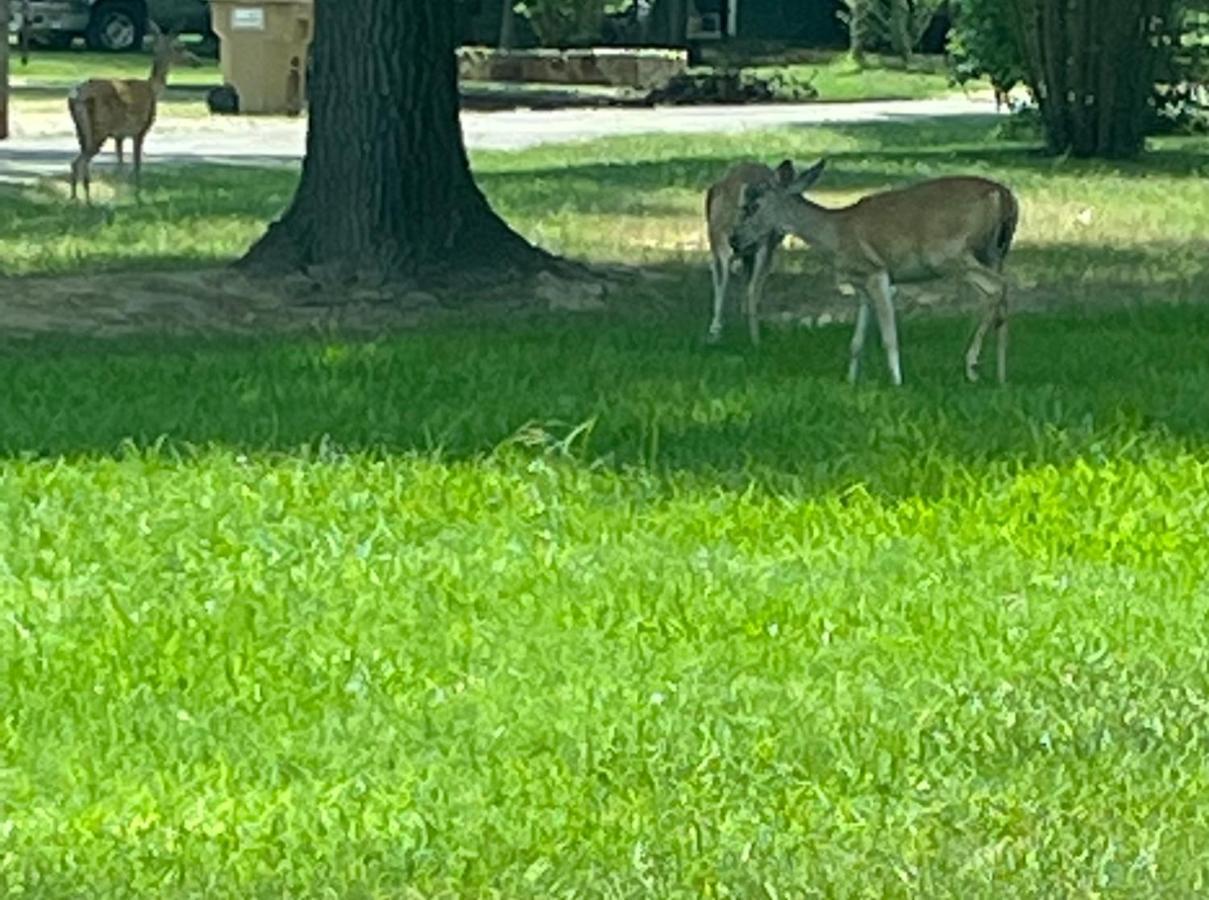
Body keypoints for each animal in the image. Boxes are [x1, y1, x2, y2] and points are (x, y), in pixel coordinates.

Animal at [67, 21, 198, 204]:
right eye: (181, 46)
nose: (197, 61)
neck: (153, 89)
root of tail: (77, 94)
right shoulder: (140, 130)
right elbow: (136, 165)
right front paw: (137, 197)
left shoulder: (119, 135)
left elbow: (120, 165)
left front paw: (120, 197)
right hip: (99, 128)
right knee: (81, 161)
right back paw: (85, 200)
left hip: (80, 129)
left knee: (77, 161)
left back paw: (76, 199)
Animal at [706, 159, 807, 345]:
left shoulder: (747, 254)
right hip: (759, 245)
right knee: (749, 285)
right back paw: (755, 338)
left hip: (717, 238)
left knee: (724, 277)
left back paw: (718, 333)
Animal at [725, 159, 1020, 384]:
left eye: (752, 206)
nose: (734, 239)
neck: (835, 234)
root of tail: (1003, 197)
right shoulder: (860, 284)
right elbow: (856, 342)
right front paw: (850, 381)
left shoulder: (878, 273)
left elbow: (889, 336)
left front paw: (897, 382)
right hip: (995, 253)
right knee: (1002, 297)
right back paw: (1001, 377)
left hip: (947, 253)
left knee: (997, 288)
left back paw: (971, 364)